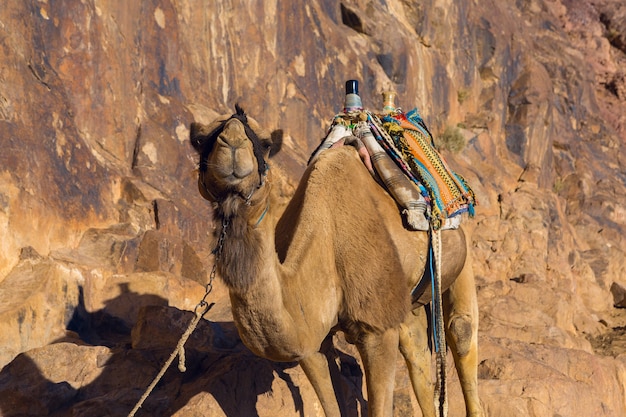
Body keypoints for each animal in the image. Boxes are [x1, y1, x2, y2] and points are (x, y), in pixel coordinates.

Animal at [189, 105, 482, 417]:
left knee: (460, 330)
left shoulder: (375, 329)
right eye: (199, 140)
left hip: (457, 250)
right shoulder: (311, 342)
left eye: (266, 144)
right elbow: (329, 403)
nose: (232, 141)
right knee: (415, 349)